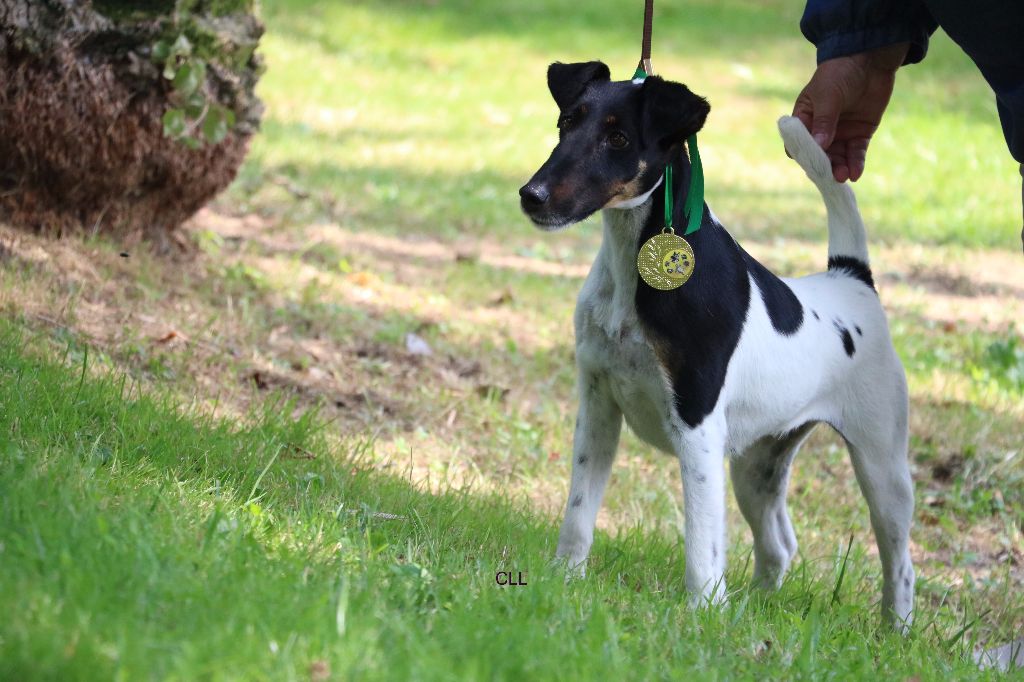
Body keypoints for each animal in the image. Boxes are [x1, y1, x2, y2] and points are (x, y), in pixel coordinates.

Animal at [520, 61, 913, 630]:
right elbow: (578, 515)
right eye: (565, 122)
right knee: (779, 545)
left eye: (618, 138)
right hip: (757, 467)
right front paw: (563, 581)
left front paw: (703, 613)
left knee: (899, 563)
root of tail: (852, 280)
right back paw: (758, 611)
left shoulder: (697, 427)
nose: (533, 195)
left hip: (881, 465)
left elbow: (702, 544)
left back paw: (893, 633)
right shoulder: (597, 408)